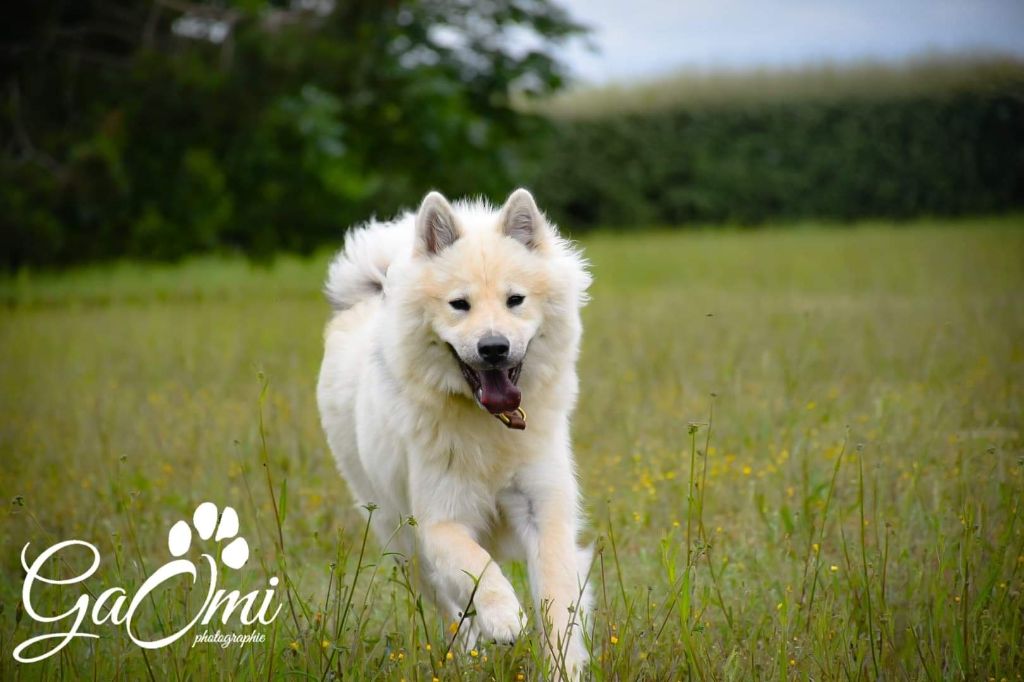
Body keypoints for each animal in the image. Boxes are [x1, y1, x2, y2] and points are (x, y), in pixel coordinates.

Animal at [315, 188, 598, 671]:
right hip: (402, 539)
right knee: (451, 612)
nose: (494, 347)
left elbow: (558, 602)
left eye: (515, 300)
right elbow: (478, 566)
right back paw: (468, 654)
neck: (490, 425)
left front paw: (563, 666)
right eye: (459, 305)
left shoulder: (545, 510)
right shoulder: (440, 520)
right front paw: (504, 618)